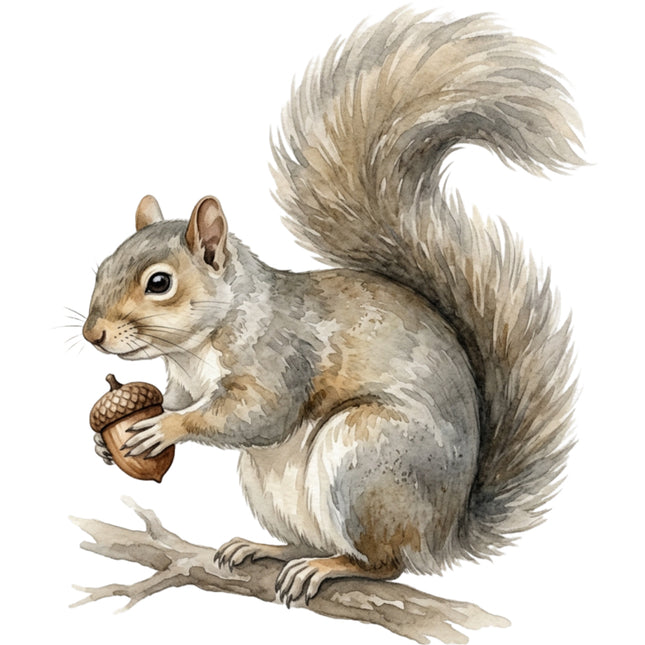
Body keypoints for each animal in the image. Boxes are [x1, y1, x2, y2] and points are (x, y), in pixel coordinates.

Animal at [83, 10, 582, 605]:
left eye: (159, 282)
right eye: (100, 268)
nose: (92, 335)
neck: (199, 345)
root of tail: (444, 534)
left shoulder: (280, 358)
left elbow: (255, 414)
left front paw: (167, 428)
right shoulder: (183, 379)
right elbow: (176, 398)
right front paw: (107, 442)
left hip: (366, 459)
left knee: (385, 564)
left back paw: (328, 567)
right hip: (273, 485)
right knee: (309, 539)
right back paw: (268, 550)